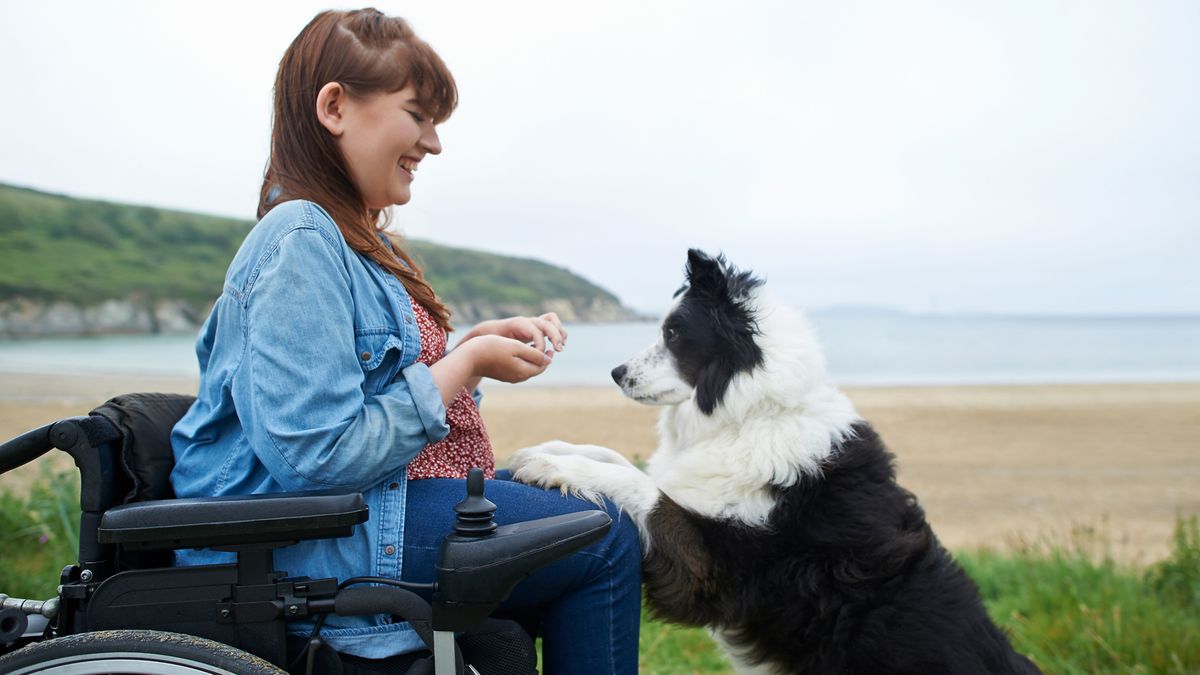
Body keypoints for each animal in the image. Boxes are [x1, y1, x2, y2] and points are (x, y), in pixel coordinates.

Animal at [511, 249, 1046, 667]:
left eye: (674, 334)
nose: (616, 373)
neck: (753, 414)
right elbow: (620, 459)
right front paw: (547, 450)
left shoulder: (709, 568)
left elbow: (644, 487)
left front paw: (555, 467)